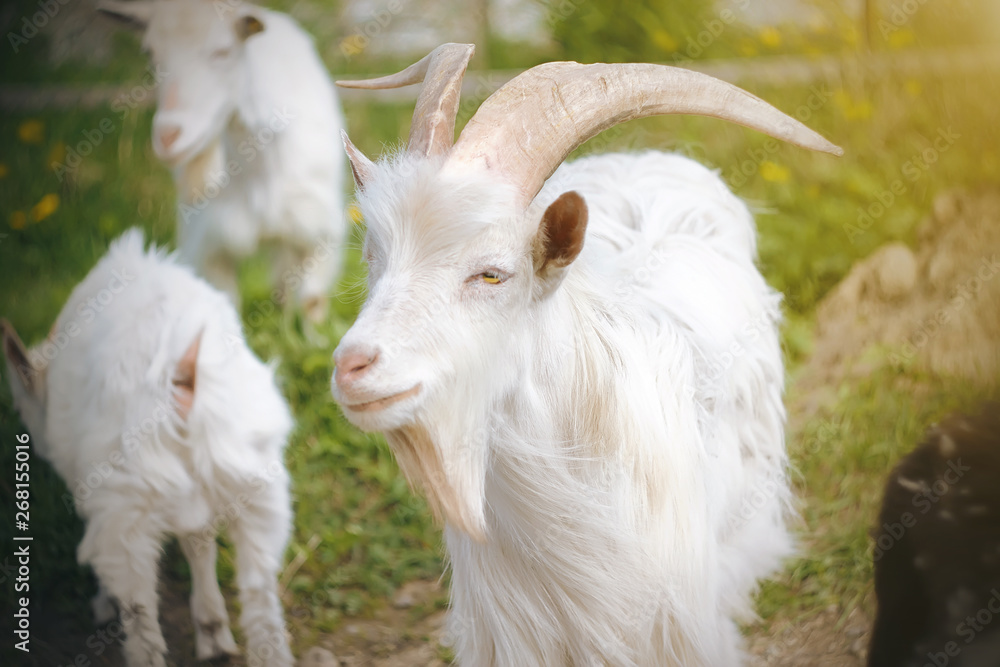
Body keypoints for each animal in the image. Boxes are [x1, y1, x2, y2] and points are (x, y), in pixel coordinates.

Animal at [2, 230, 295, 667]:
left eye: (21, 408)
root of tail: (178, 377)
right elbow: (198, 541)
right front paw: (212, 630)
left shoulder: (101, 498)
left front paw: (104, 603)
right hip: (256, 482)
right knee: (260, 592)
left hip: (128, 508)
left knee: (140, 613)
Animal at [98, 0, 347, 322]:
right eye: (150, 53)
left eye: (223, 51)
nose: (168, 136)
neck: (256, 172)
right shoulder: (208, 243)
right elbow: (224, 305)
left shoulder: (319, 231)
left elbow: (312, 301)